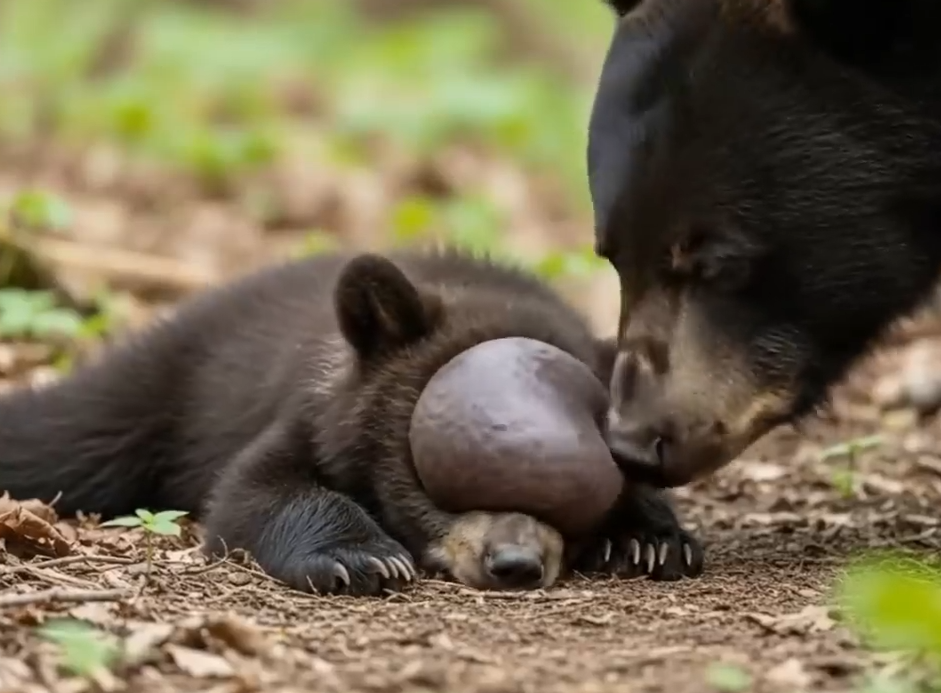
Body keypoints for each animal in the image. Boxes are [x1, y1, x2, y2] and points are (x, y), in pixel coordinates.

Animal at [0, 247, 704, 595]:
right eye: (433, 478)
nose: (515, 563)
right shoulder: (311, 409)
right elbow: (255, 489)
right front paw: (360, 556)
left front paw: (648, 539)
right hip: (157, 394)